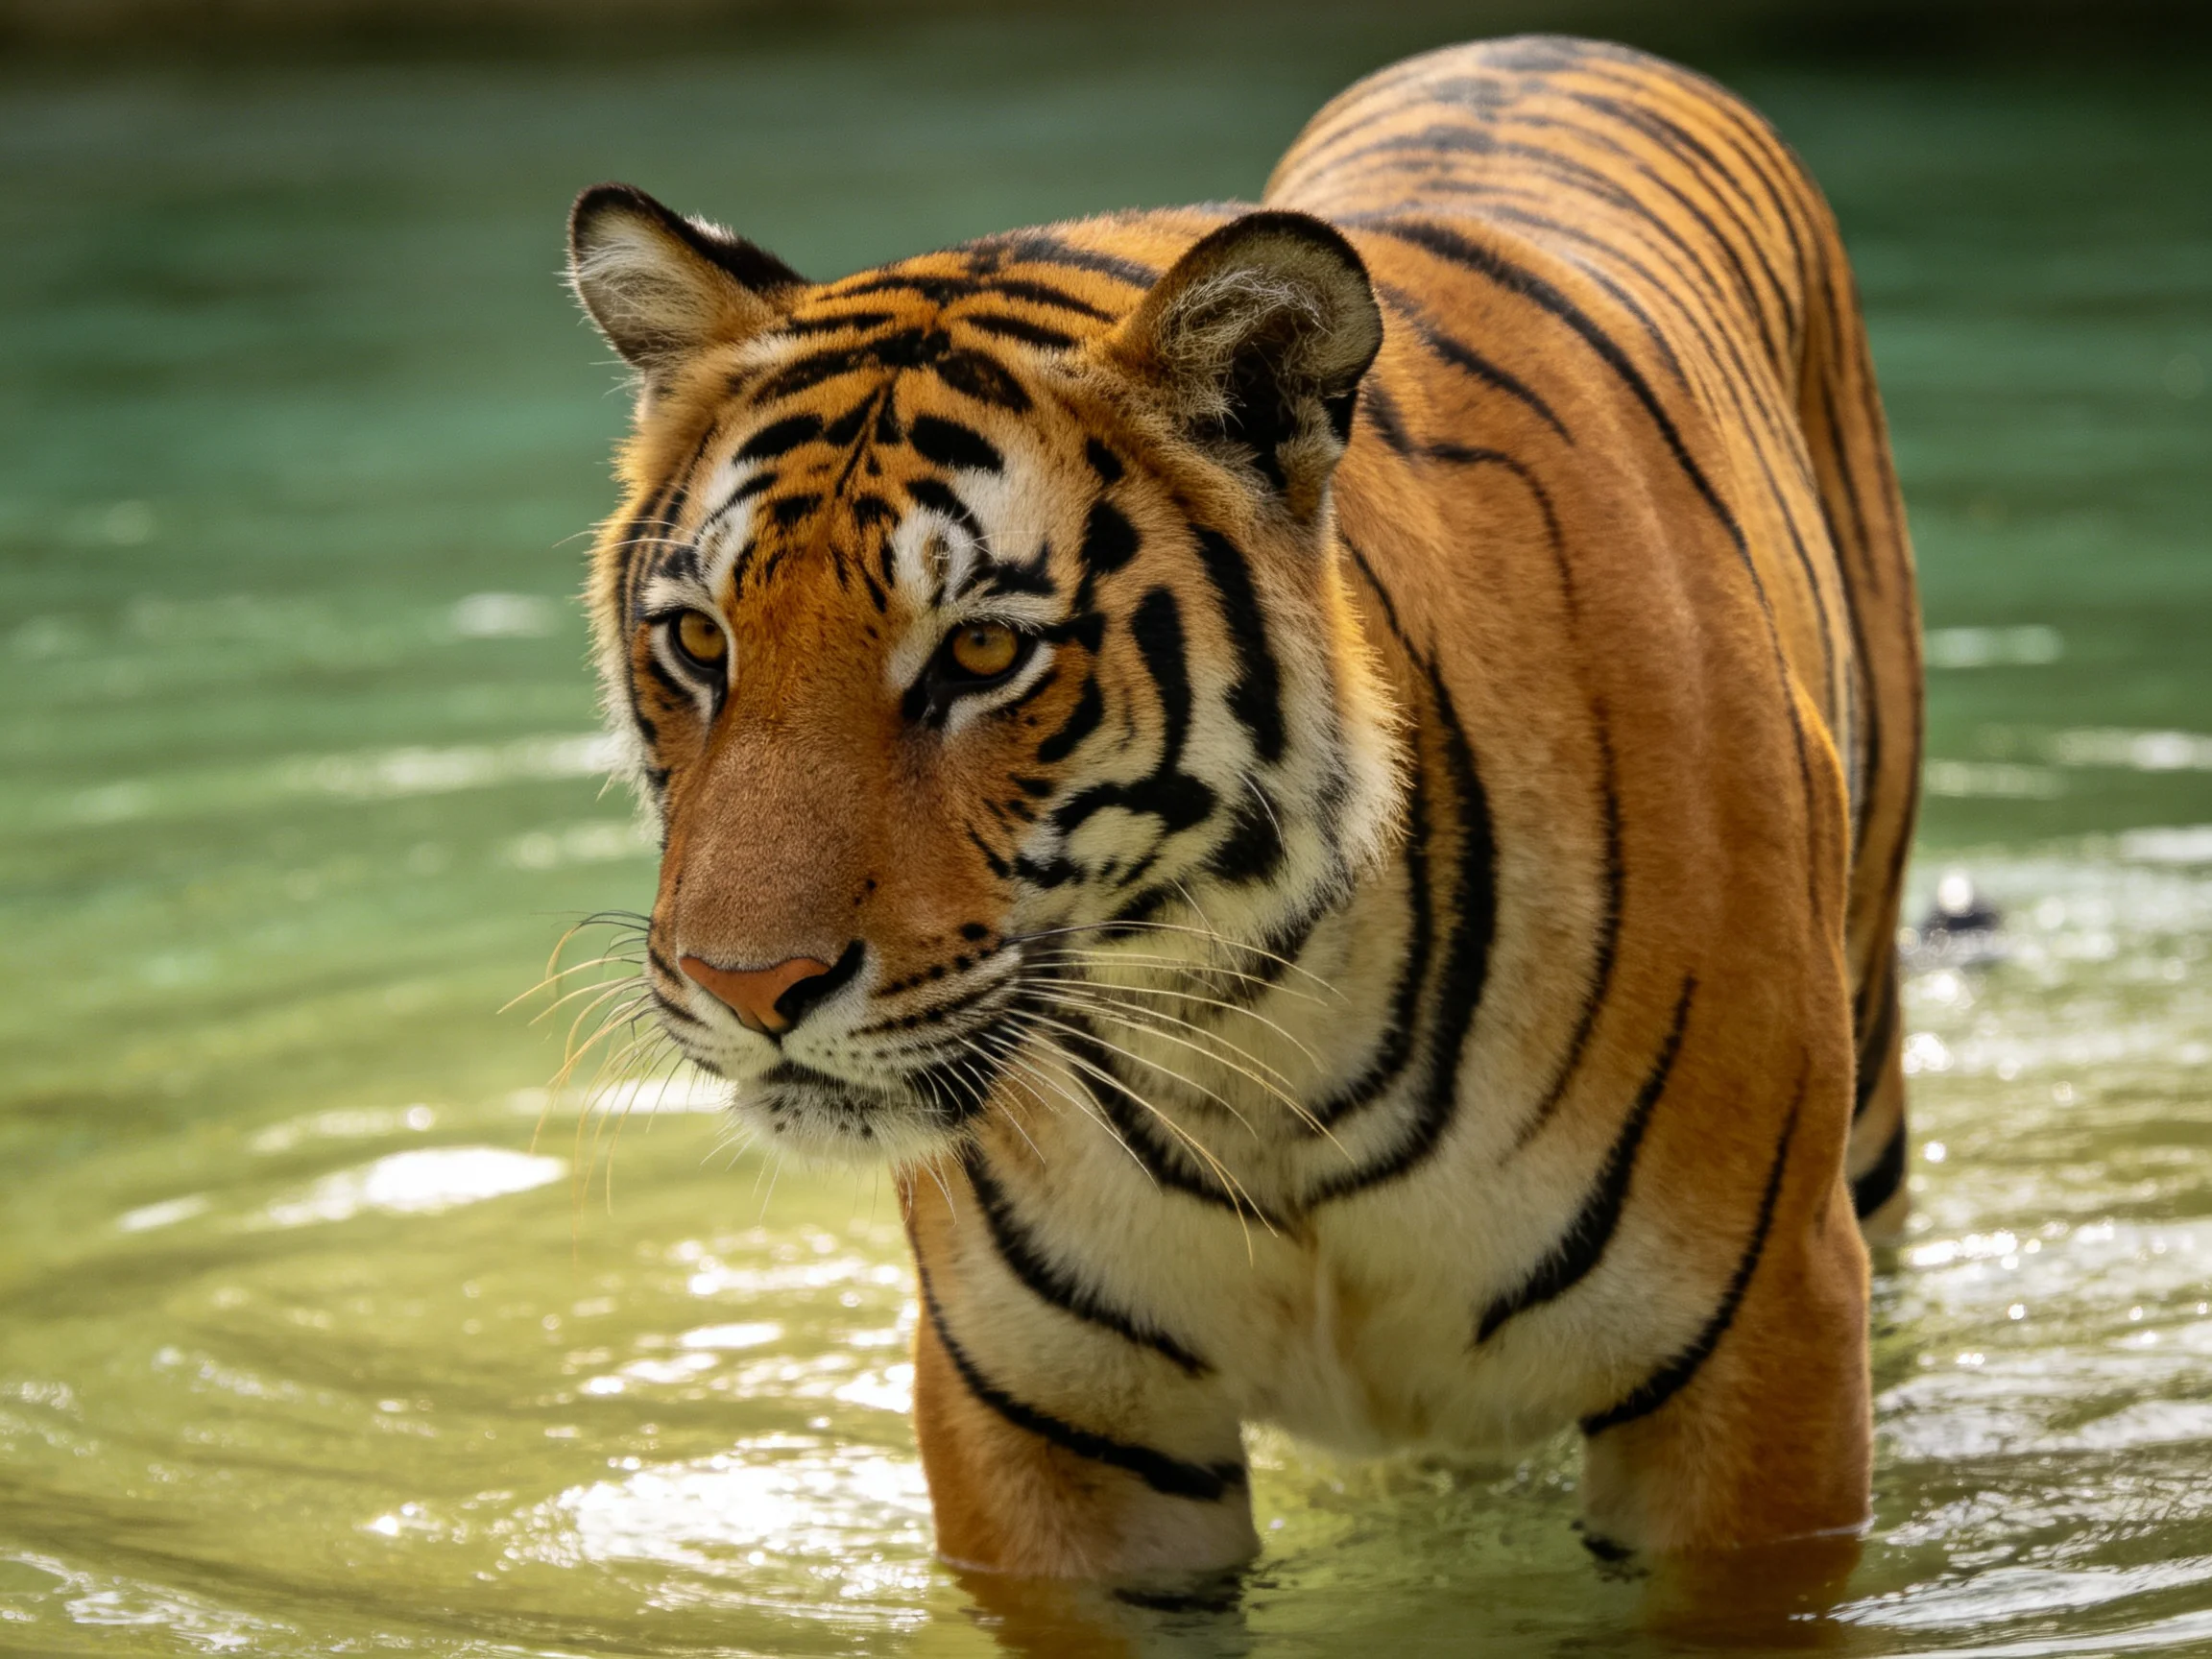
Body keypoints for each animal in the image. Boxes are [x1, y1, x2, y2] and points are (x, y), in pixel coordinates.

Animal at [560, 34, 1921, 1580]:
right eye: (700, 641)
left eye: (982, 652)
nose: (747, 987)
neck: (1244, 1026)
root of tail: (1539, 41)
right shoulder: (1055, 1412)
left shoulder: (1752, 1353)